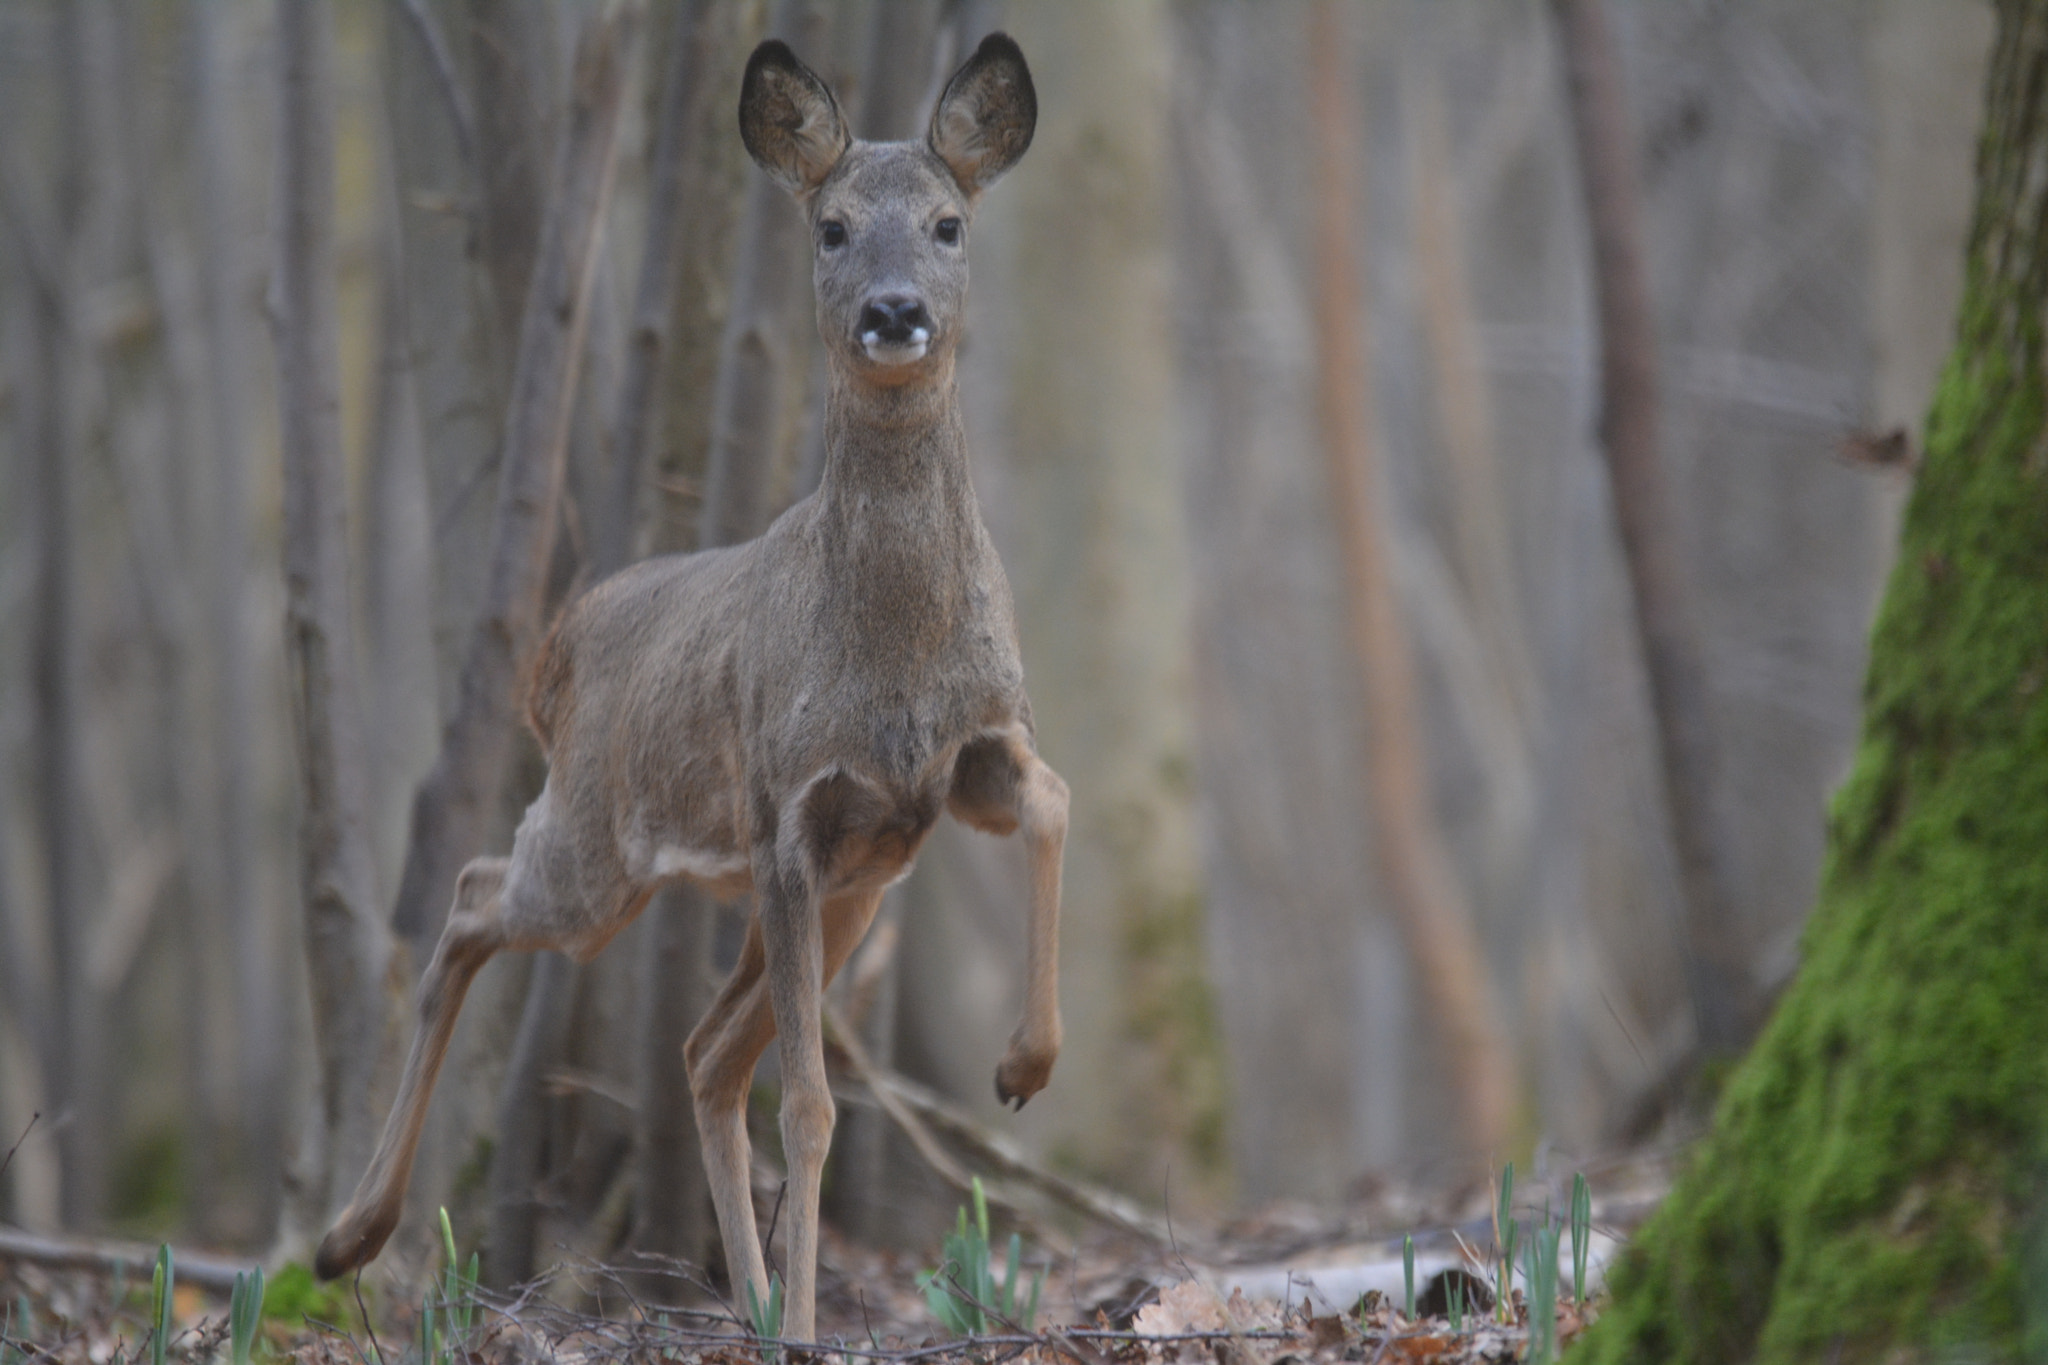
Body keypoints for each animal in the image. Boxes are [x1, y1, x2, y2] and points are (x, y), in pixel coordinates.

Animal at [315, 31, 1073, 1342]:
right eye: (830, 226)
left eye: (947, 223)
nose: (894, 313)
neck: (893, 652)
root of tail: (557, 646)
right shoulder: (789, 814)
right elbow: (811, 1107)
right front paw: (816, 1325)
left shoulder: (959, 764)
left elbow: (1053, 802)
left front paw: (1023, 1066)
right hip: (606, 852)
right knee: (472, 898)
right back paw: (347, 1236)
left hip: (846, 890)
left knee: (702, 1051)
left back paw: (753, 1307)